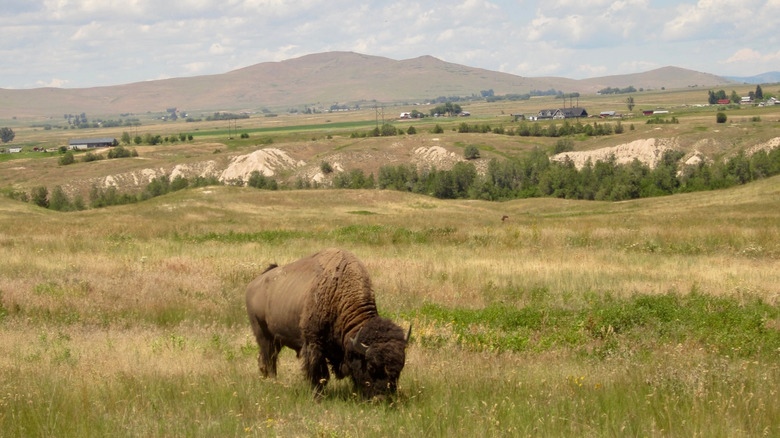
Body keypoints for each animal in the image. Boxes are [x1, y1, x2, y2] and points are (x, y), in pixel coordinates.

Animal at [245, 248, 410, 399]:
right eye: (371, 367)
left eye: (400, 368)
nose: (383, 398)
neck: (338, 293)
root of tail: (254, 284)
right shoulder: (313, 344)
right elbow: (319, 374)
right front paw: (318, 396)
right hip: (264, 336)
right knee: (269, 359)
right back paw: (274, 382)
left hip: (277, 339)